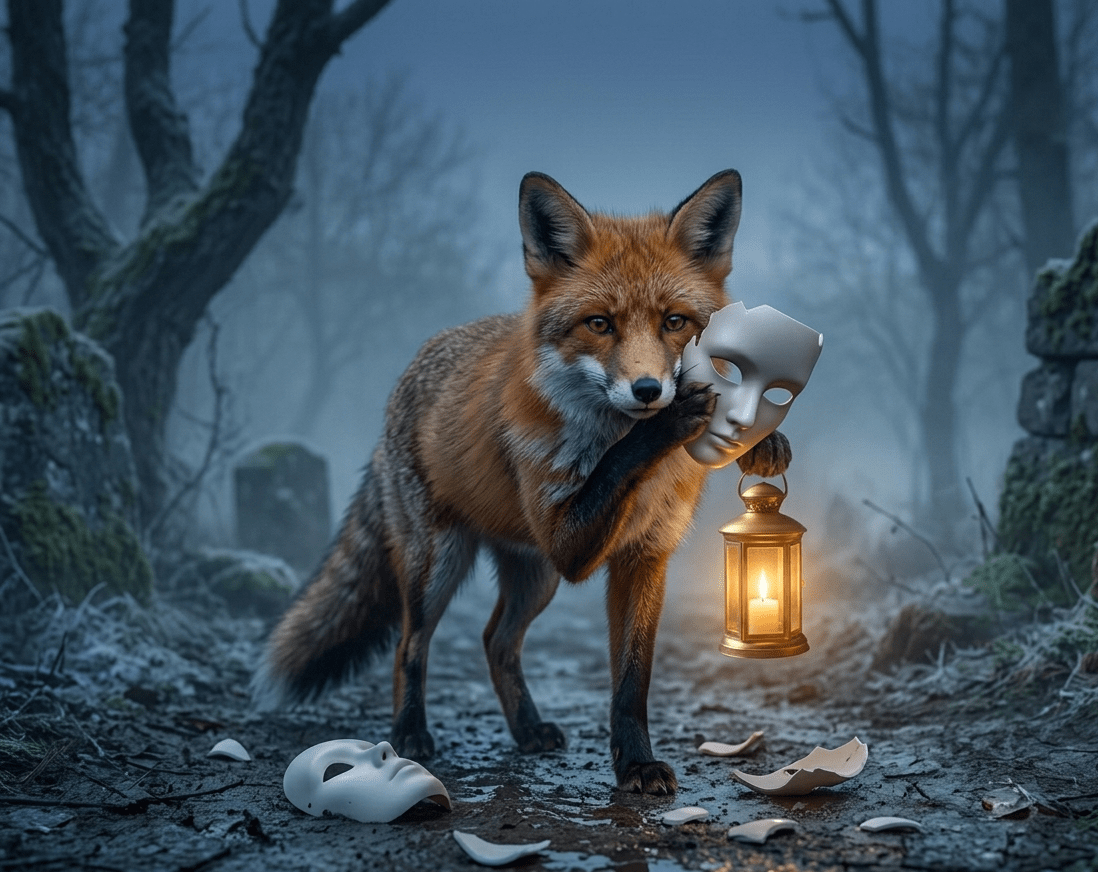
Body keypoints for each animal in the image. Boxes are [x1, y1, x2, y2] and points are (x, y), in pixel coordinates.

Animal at [253, 169, 790, 794]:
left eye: (675, 322)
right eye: (600, 324)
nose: (649, 391)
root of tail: (411, 370)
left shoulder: (644, 556)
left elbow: (632, 681)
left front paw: (634, 762)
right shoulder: (568, 543)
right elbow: (618, 460)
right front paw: (668, 422)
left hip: (535, 577)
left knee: (496, 641)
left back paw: (526, 728)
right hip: (440, 563)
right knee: (410, 644)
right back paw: (410, 733)